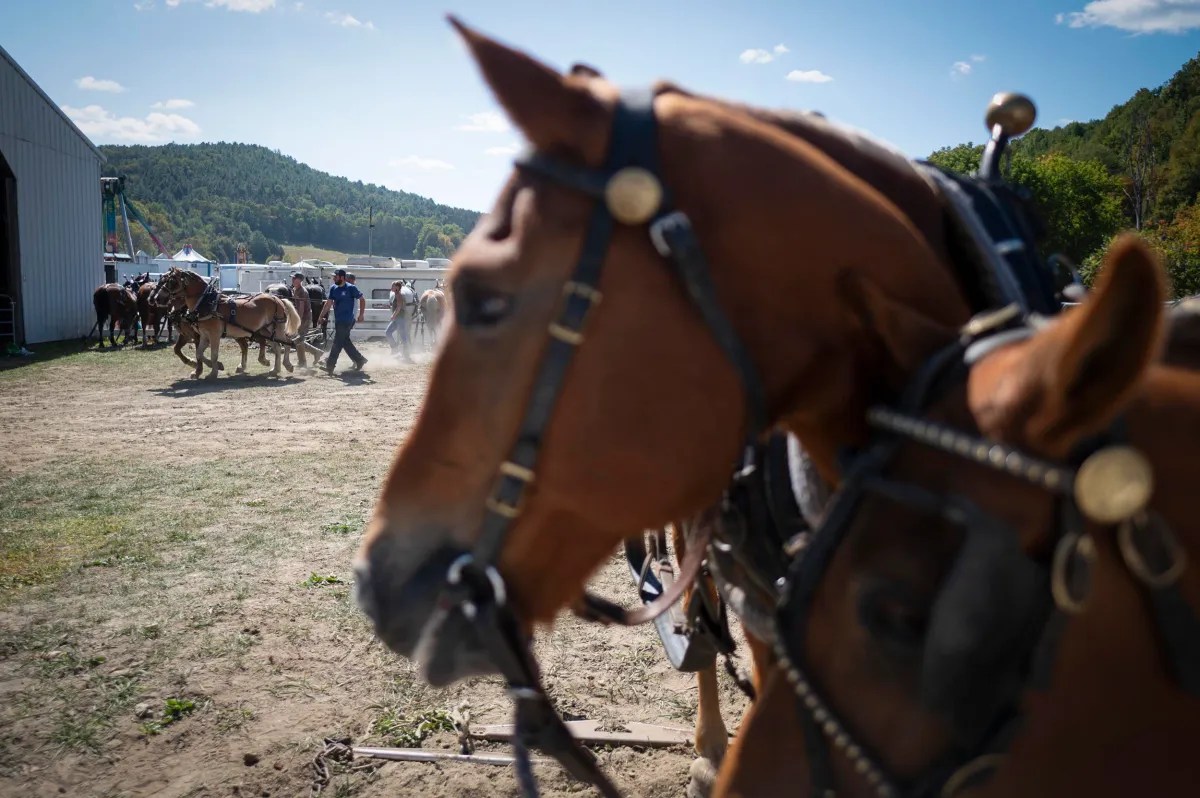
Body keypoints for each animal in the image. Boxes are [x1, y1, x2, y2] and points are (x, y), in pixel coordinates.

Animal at [158, 268, 301, 379]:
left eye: (171, 281)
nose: (157, 298)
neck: (207, 302)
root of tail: (277, 298)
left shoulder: (214, 335)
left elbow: (214, 354)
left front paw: (213, 373)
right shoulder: (204, 335)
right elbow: (199, 354)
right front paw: (215, 367)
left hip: (276, 329)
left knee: (287, 343)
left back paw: (288, 365)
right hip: (267, 331)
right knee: (277, 347)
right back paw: (274, 370)